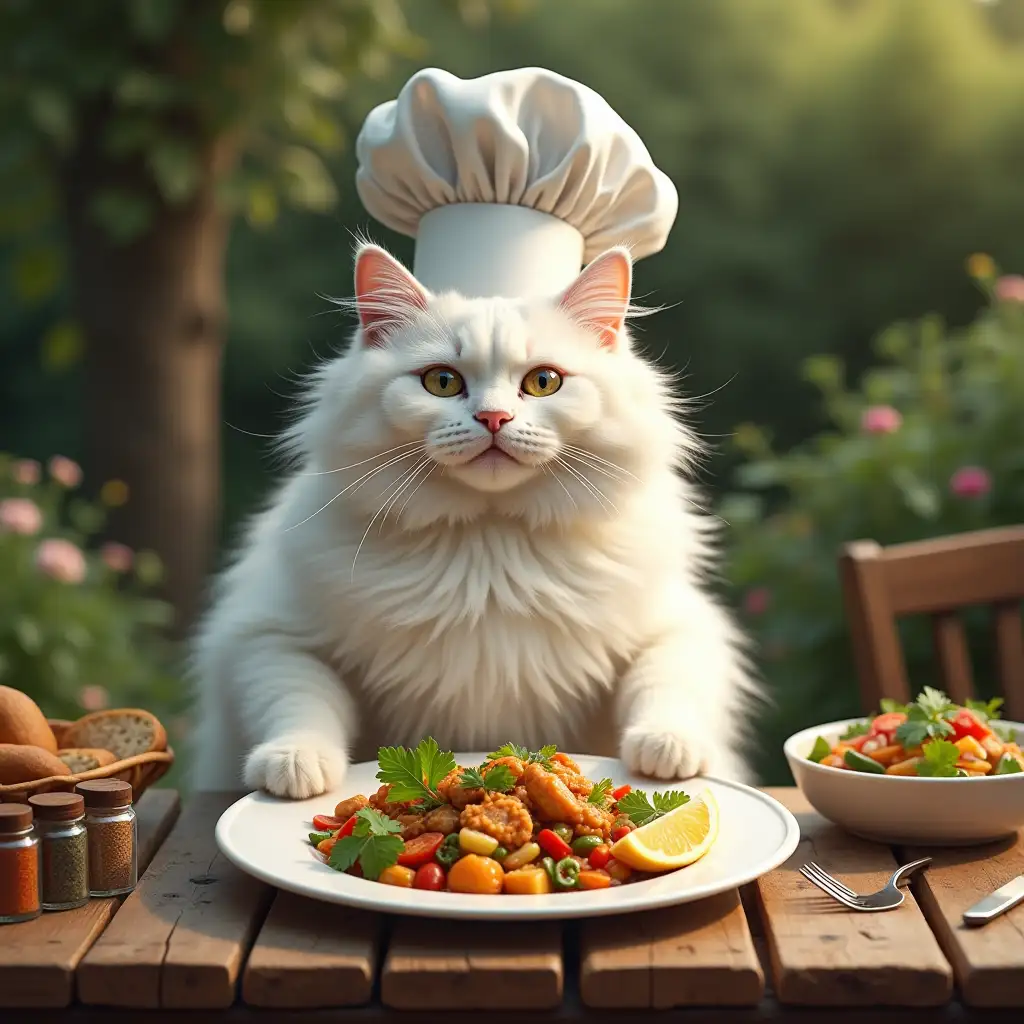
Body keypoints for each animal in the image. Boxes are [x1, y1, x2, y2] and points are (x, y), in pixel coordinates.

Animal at [192, 241, 757, 798]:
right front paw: (294, 763)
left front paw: (667, 750)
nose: (493, 418)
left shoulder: (680, 625)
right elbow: (301, 700)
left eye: (544, 382)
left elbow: (663, 685)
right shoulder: (265, 633)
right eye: (442, 382)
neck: (488, 545)